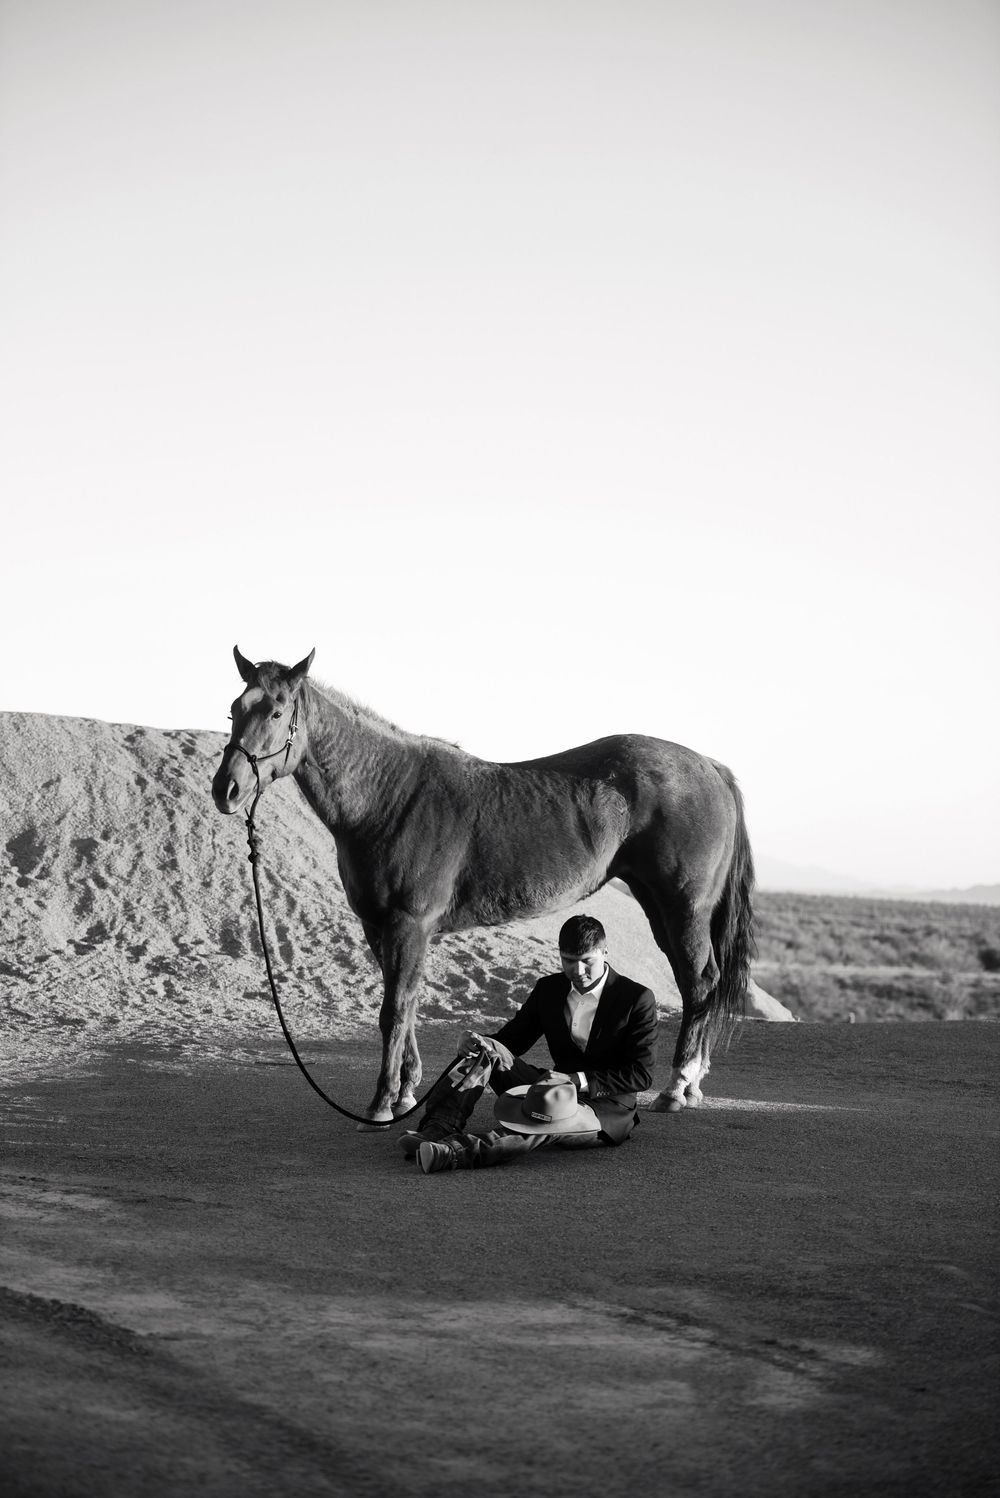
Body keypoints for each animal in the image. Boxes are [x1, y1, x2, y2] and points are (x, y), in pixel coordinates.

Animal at [211, 647, 756, 1126]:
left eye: (276, 710)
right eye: (235, 707)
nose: (226, 790)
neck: (391, 795)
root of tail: (709, 767)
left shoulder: (409, 924)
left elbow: (395, 1010)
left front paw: (381, 1103)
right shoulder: (380, 927)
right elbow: (404, 1002)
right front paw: (406, 1091)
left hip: (684, 906)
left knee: (699, 981)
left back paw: (678, 1087)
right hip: (658, 904)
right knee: (696, 981)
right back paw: (691, 1083)